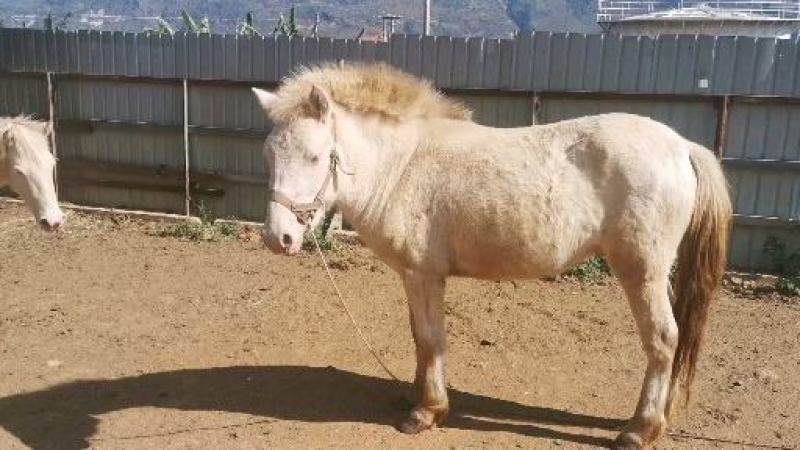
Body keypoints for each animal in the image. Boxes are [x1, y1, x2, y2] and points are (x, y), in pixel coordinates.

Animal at [252, 63, 731, 449]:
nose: (278, 238)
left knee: (663, 340)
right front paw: (417, 396)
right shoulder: (414, 276)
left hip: (642, 272)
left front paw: (426, 412)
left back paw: (639, 429)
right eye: (269, 155)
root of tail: (682, 146)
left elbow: (431, 339)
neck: (403, 164)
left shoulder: (423, 274)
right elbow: (419, 339)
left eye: (315, 157)